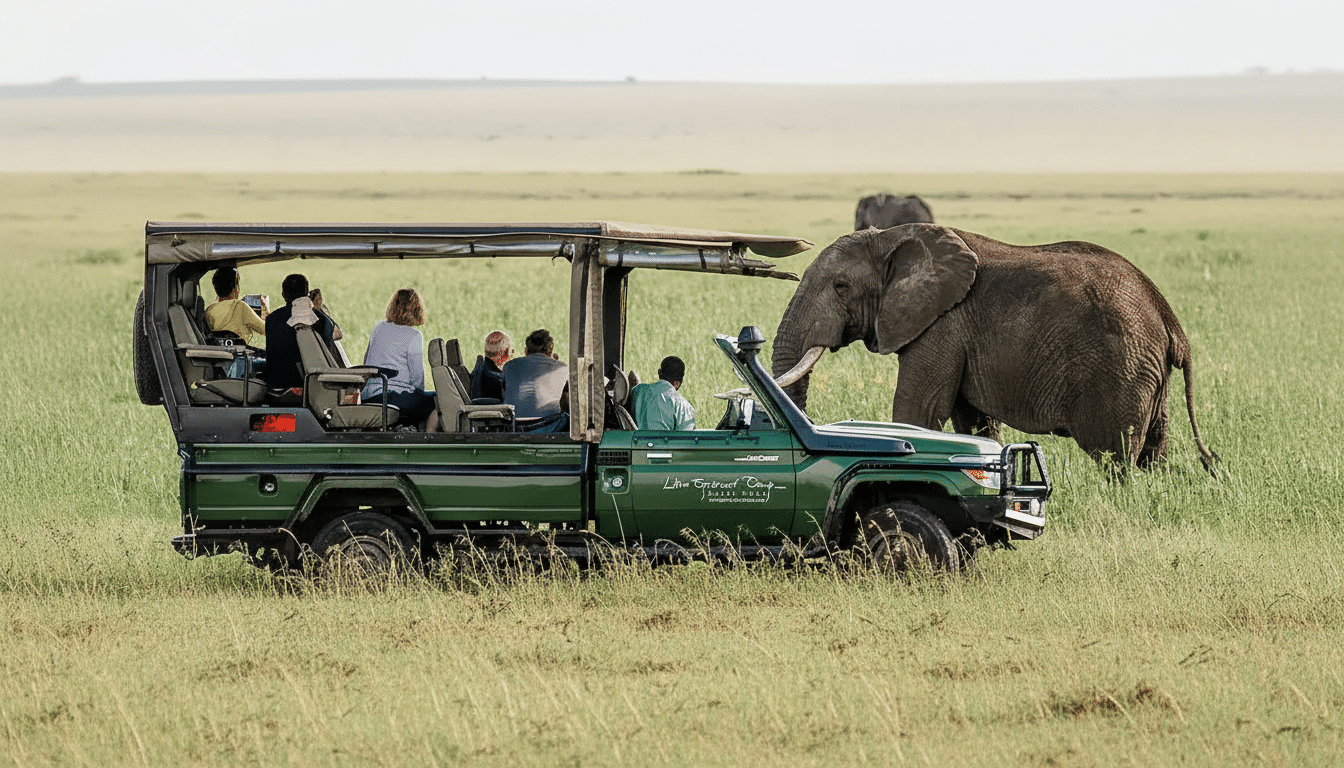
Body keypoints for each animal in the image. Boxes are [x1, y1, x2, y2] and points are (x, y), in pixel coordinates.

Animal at [772, 224, 1219, 475]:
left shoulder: (943, 325)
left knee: (1116, 455)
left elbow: (920, 410)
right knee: (1153, 450)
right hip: (1148, 373)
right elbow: (972, 421)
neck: (892, 237)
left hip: (1120, 368)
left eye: (841, 286)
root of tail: (1169, 319)